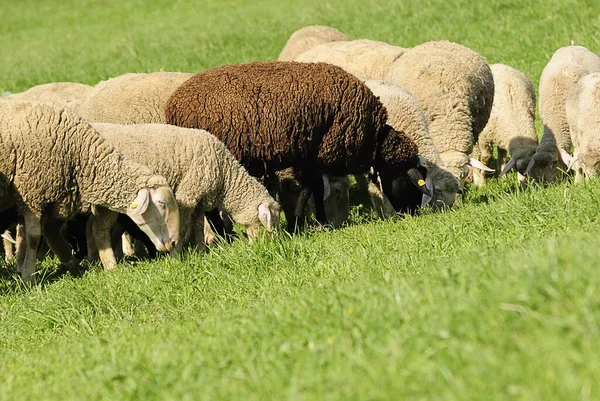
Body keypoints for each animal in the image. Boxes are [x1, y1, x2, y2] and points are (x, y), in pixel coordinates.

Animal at [0, 99, 179, 282]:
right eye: (162, 203)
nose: (174, 243)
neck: (76, 150)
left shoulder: (51, 198)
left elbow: (44, 233)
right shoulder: (31, 196)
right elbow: (33, 238)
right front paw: (29, 277)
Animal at [163, 60, 426, 228]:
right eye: (407, 180)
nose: (414, 213)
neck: (373, 138)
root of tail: (174, 106)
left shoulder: (308, 154)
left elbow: (314, 188)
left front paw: (312, 222)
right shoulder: (315, 153)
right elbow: (312, 188)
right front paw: (306, 222)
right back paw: (225, 237)